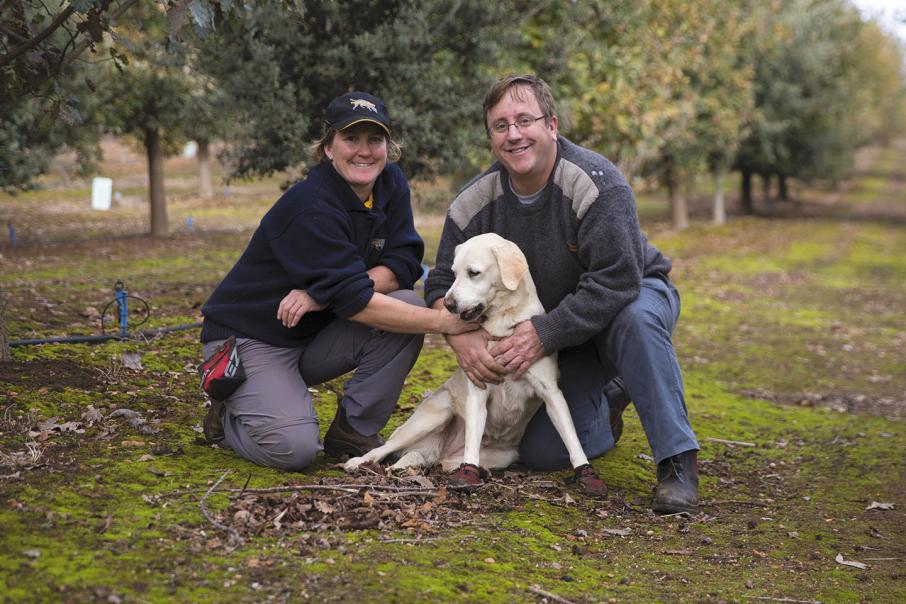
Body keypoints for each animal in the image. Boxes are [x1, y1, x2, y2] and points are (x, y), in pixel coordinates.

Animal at [346, 232, 608, 496]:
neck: (502, 323)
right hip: (433, 416)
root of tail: (439, 450)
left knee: (437, 461)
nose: (448, 304)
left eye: (474, 272)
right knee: (387, 448)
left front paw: (586, 473)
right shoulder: (478, 393)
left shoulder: (552, 393)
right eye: (453, 273)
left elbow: (572, 439)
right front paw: (468, 473)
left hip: (501, 456)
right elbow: (472, 441)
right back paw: (360, 462)